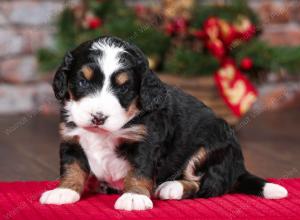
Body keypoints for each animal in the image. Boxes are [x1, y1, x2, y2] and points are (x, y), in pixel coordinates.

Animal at [38, 36, 288, 211]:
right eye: (82, 81)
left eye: (124, 87)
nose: (98, 117)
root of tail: (238, 167)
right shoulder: (72, 138)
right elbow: (72, 167)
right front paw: (64, 190)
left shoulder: (146, 141)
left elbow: (139, 170)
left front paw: (134, 196)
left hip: (211, 147)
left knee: (207, 185)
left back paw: (172, 187)